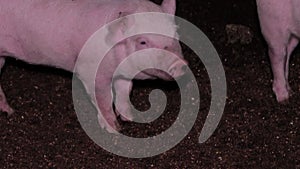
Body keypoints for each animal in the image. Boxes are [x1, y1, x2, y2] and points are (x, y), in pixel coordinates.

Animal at [0, 0, 188, 132]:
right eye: (142, 42)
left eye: (176, 34)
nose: (180, 65)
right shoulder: (89, 69)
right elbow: (103, 97)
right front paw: (115, 130)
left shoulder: (123, 72)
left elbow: (125, 89)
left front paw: (129, 118)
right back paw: (10, 112)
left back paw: (9, 111)